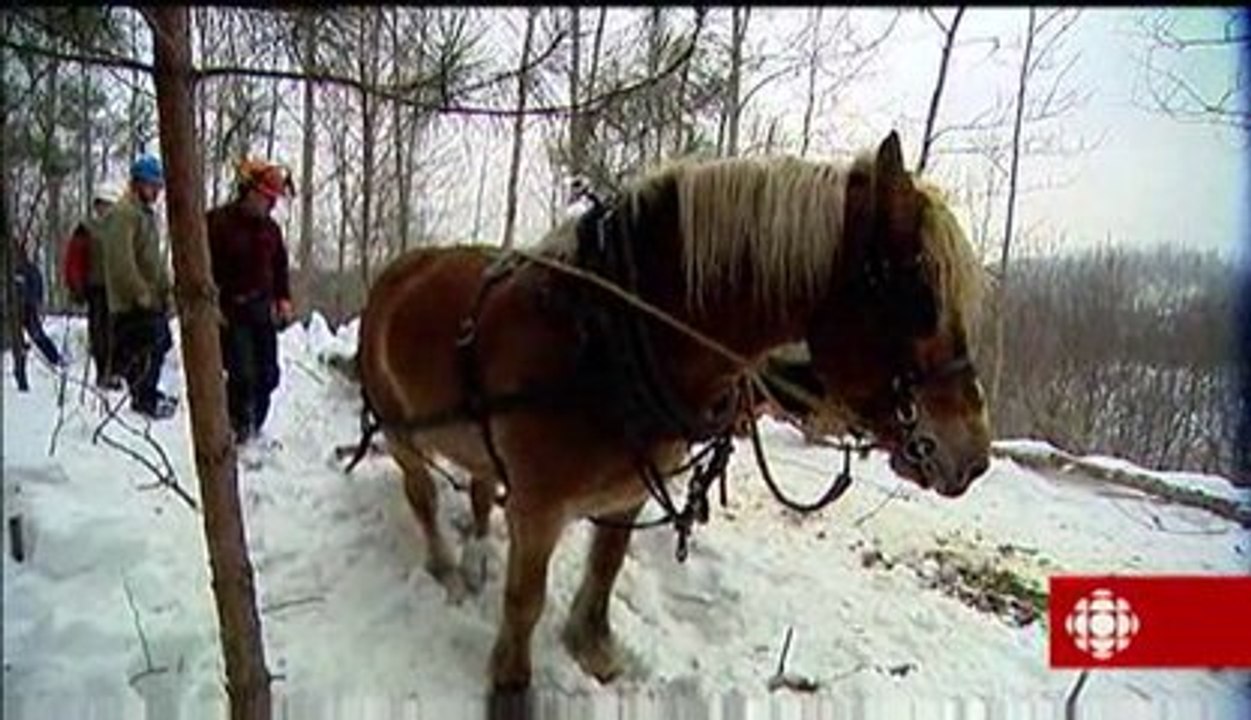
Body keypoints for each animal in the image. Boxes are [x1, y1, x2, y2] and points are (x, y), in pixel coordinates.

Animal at [353, 132, 991, 699]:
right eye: (921, 299)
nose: (974, 454)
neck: (605, 339)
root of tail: (399, 270)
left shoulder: (627, 493)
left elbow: (605, 570)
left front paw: (593, 649)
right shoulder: (538, 507)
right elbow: (525, 602)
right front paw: (510, 683)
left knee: (483, 487)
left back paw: (480, 551)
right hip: (398, 431)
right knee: (422, 495)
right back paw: (445, 566)